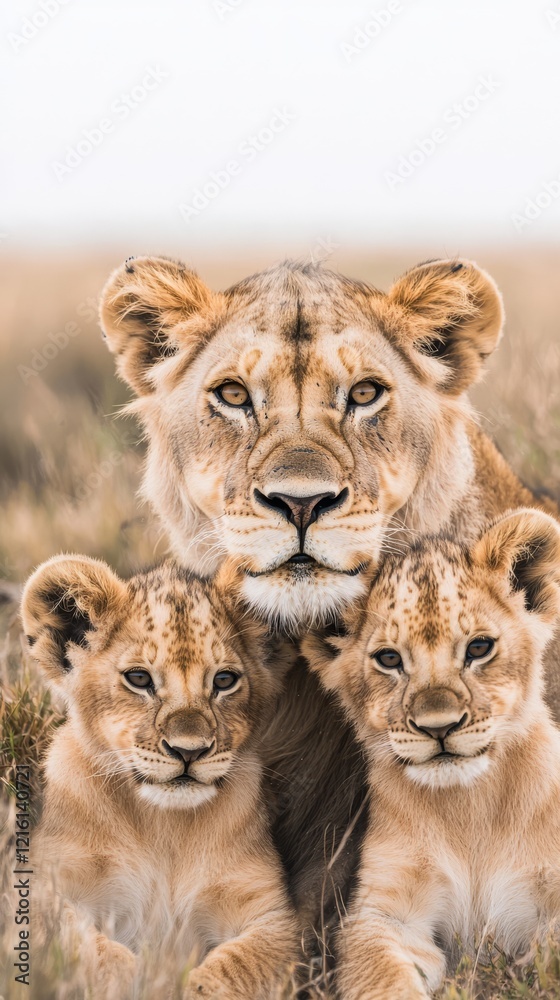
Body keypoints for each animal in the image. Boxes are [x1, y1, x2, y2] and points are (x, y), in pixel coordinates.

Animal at [20, 555, 298, 1000]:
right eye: (139, 679)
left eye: (224, 680)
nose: (189, 751)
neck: (162, 828)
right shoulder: (45, 890)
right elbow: (89, 950)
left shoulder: (274, 916)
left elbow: (233, 968)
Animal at [302, 507, 560, 999]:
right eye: (388, 659)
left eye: (479, 648)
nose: (438, 727)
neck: (470, 808)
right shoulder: (385, 912)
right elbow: (380, 975)